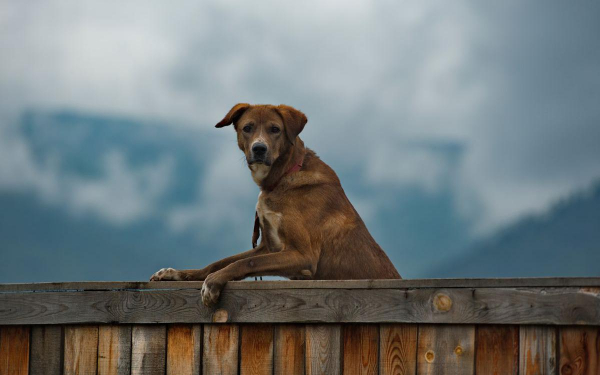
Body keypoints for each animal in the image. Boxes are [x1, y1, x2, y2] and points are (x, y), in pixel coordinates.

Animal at [150, 103, 400, 306]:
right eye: (247, 128)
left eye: (275, 129)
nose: (259, 149)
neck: (281, 178)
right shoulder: (267, 246)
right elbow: (219, 262)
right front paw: (177, 274)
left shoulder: (302, 255)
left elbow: (247, 263)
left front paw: (213, 283)